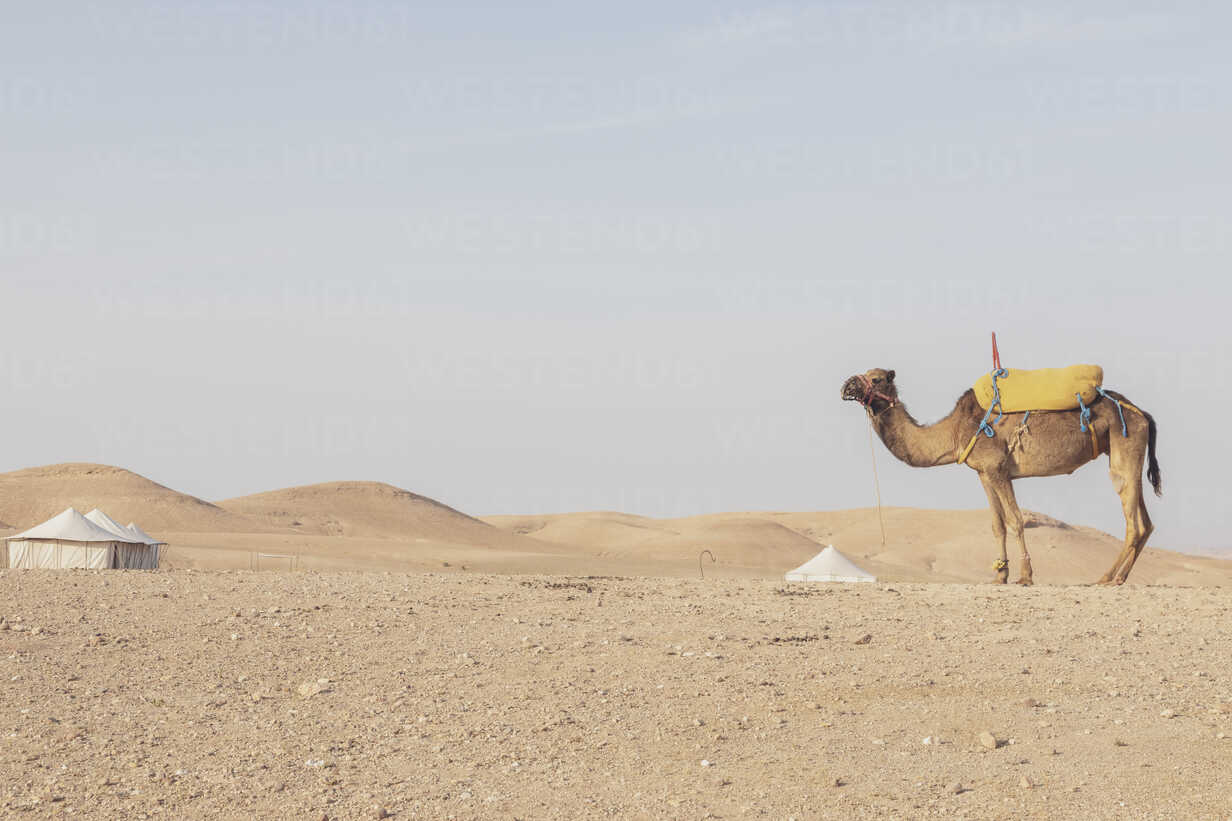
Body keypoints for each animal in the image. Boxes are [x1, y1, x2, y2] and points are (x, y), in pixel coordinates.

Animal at [840, 369, 1162, 585]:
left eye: (876, 378)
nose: (847, 385)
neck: (954, 431)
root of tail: (1142, 413)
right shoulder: (984, 472)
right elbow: (997, 524)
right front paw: (1000, 575)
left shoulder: (997, 468)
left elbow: (1016, 520)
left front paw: (1025, 575)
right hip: (1129, 453)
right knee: (1146, 523)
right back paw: (1120, 577)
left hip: (1124, 445)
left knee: (1132, 519)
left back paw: (1106, 577)